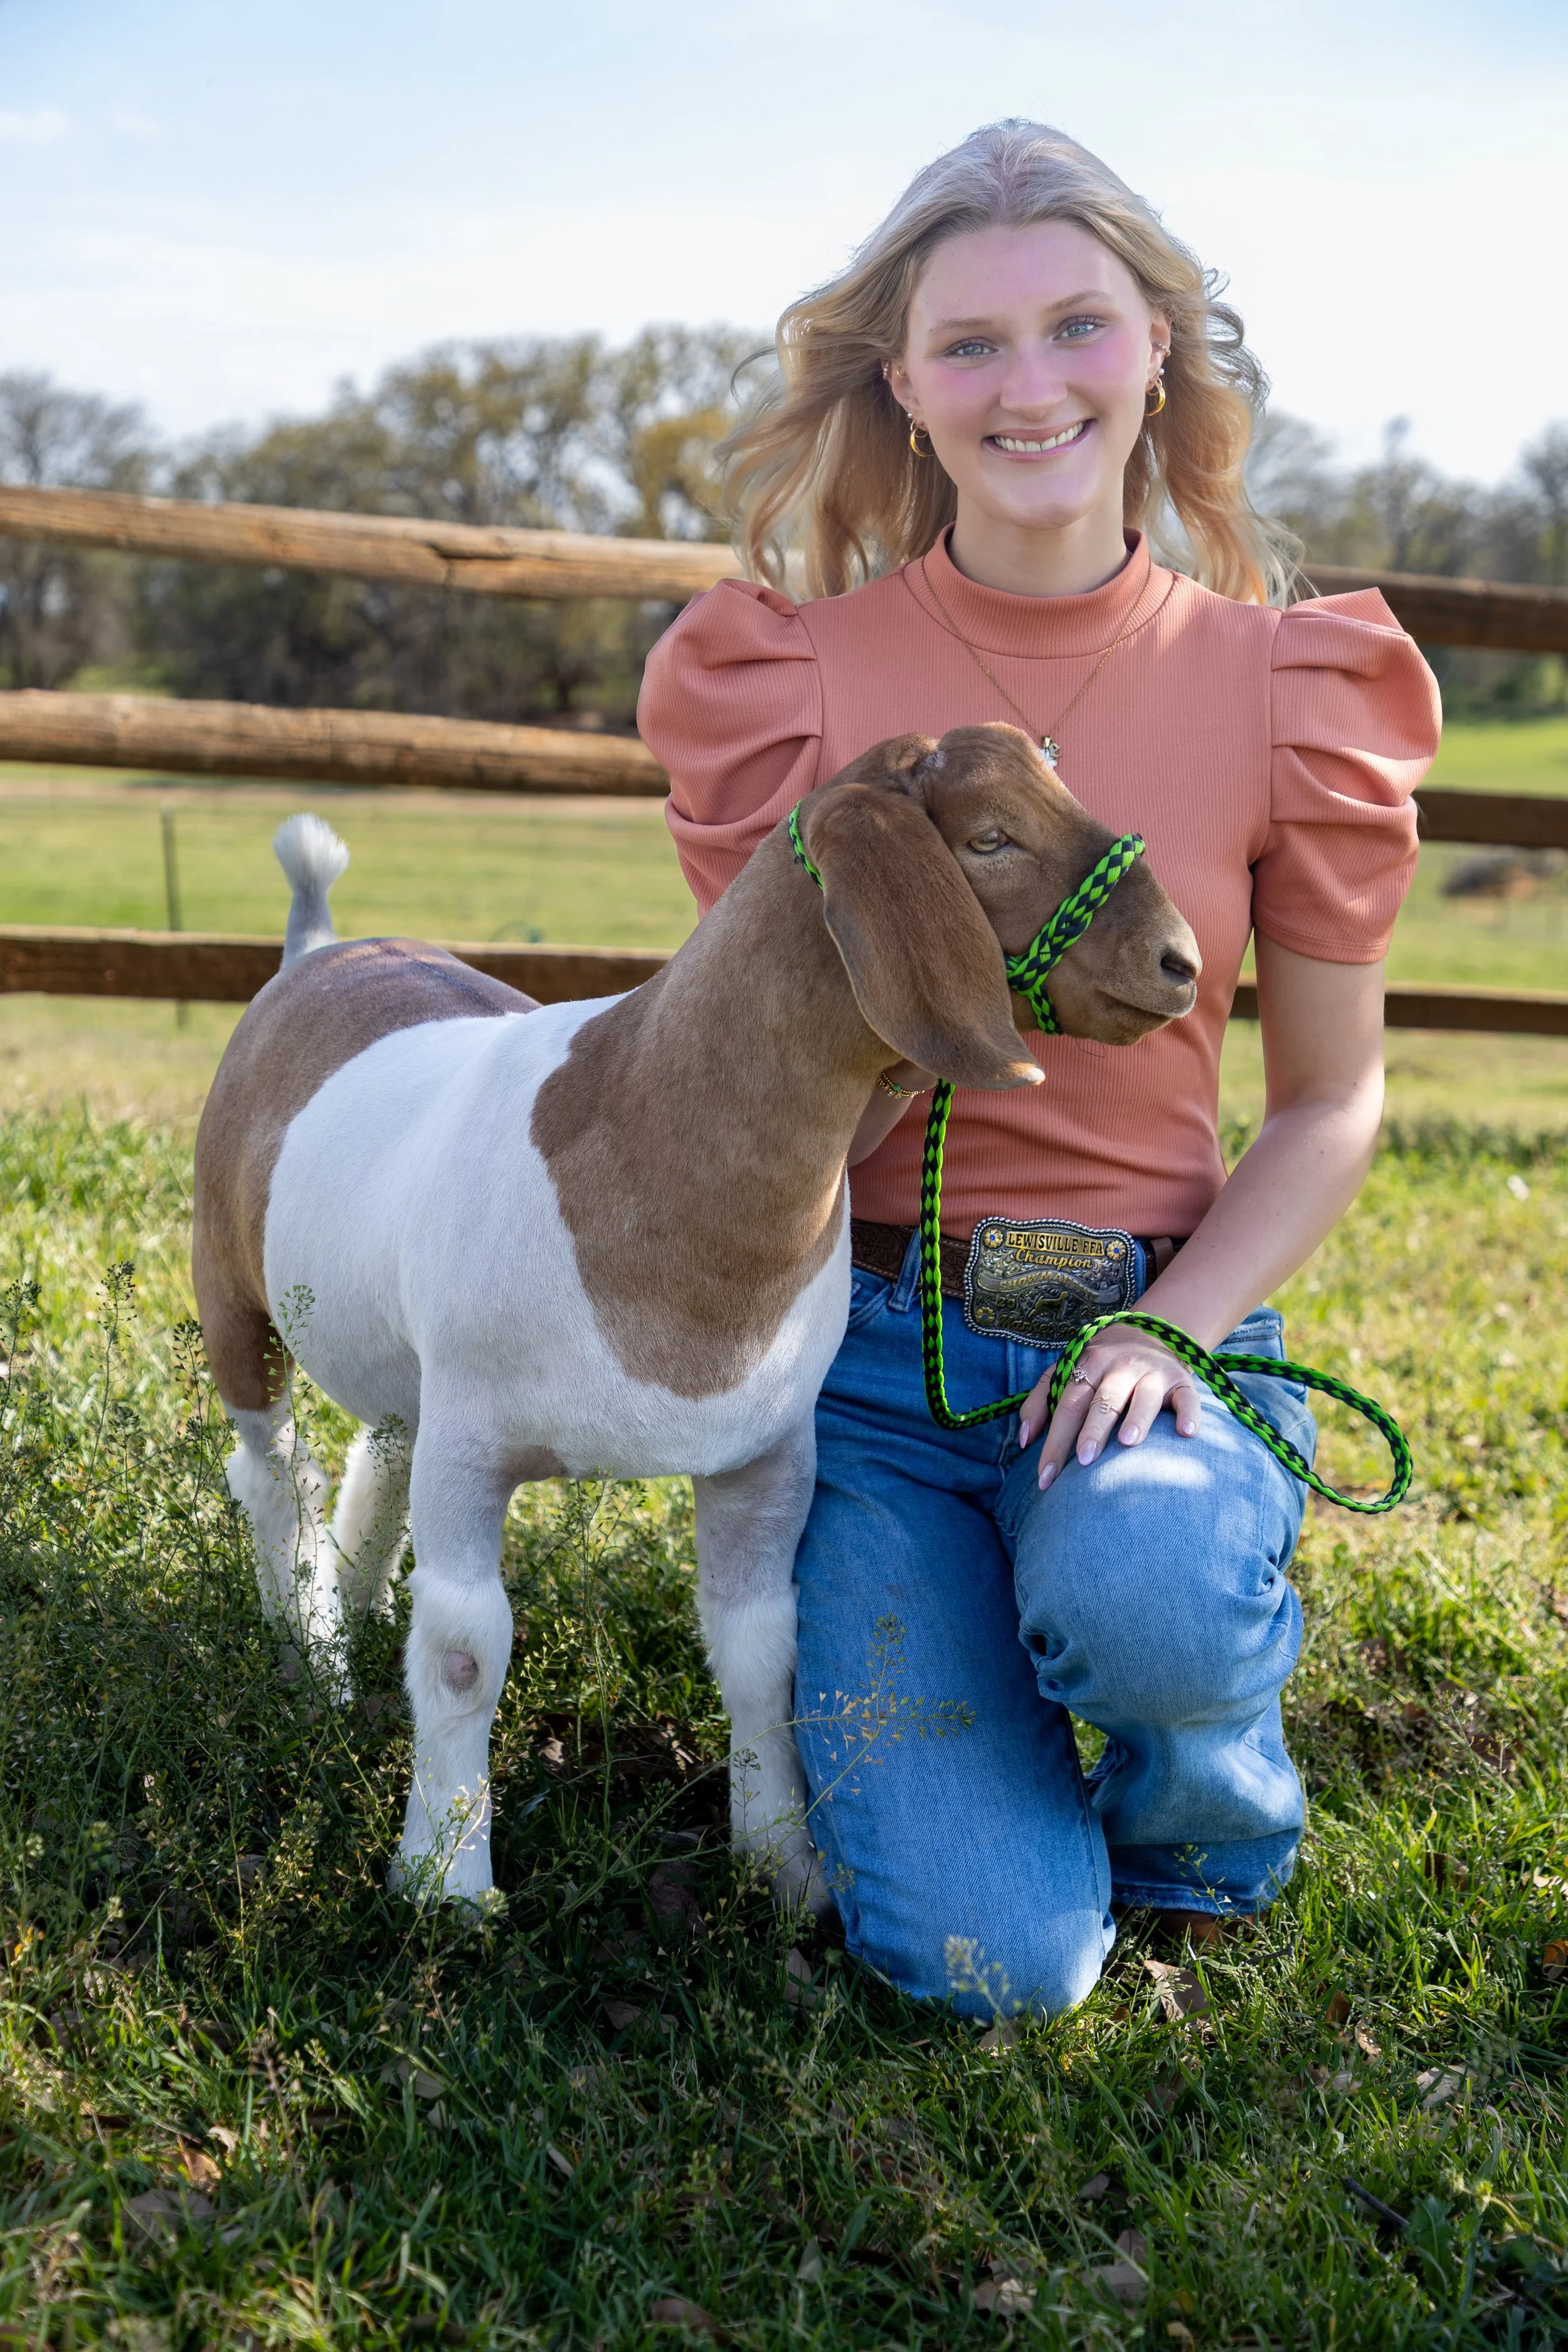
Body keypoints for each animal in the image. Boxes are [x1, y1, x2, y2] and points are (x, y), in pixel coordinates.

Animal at [192, 725, 1201, 1910]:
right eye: (992, 836)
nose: (1181, 962)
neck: (639, 1129)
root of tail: (319, 950)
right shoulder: (475, 1440)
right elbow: (464, 1651)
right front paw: (447, 1882)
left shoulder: (766, 1455)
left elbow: (766, 1652)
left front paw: (785, 1868)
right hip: (232, 1294)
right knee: (275, 1472)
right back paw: (310, 1655)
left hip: (409, 1371)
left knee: (377, 1456)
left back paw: (349, 1613)